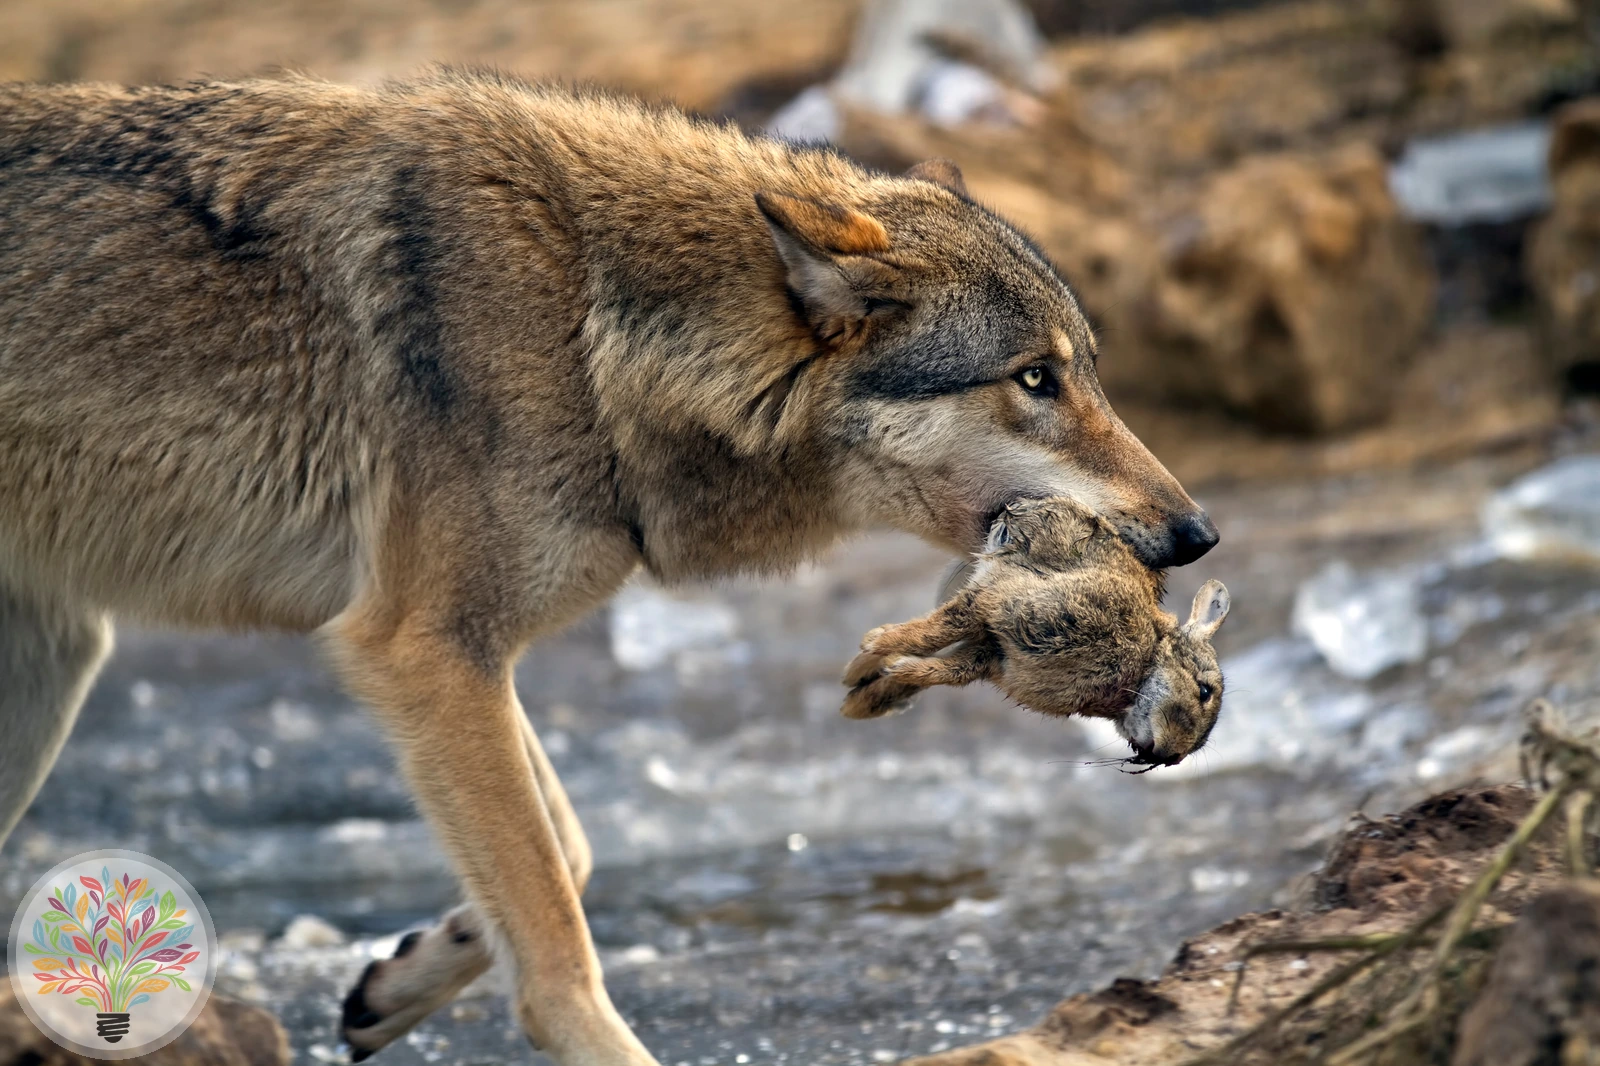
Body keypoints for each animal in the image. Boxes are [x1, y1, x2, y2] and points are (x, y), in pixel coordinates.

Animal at [0, 70, 1217, 1066]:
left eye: (1087, 371)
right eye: (1032, 379)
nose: (1198, 533)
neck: (592, 322)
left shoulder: (457, 661)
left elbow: (567, 851)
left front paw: (409, 970)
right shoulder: (421, 647)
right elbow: (556, 950)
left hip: (58, 656)